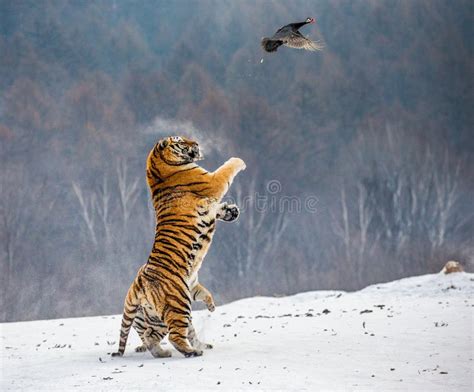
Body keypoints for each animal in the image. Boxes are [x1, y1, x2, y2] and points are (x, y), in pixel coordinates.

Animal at [111, 136, 244, 358]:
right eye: (182, 141)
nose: (196, 143)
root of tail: (140, 282)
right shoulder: (212, 183)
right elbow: (227, 168)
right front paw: (239, 160)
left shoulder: (194, 285)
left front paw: (231, 211)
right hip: (179, 302)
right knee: (173, 336)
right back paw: (192, 352)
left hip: (159, 316)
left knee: (151, 336)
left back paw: (165, 353)